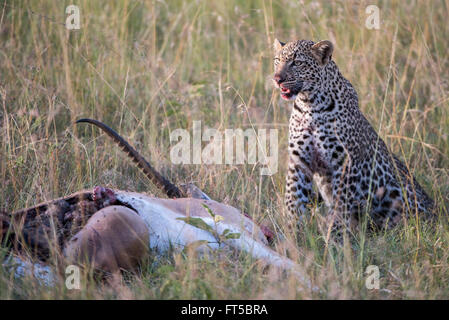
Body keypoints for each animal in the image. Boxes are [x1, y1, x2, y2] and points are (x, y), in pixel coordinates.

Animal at [272, 38, 436, 240]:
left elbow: (340, 206)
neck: (309, 104)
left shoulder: (345, 164)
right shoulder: (299, 160)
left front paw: (335, 238)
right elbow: (293, 198)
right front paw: (292, 234)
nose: (277, 79)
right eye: (277, 60)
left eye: (297, 62)